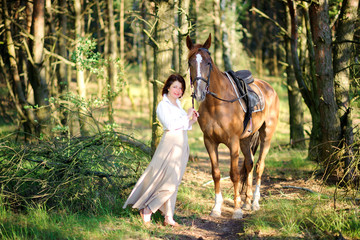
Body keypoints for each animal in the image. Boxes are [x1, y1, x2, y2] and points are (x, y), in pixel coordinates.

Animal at [187, 34, 280, 219]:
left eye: (208, 62)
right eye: (190, 62)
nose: (199, 93)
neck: (216, 104)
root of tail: (270, 88)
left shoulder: (233, 141)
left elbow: (234, 174)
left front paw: (236, 210)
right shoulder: (209, 141)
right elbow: (216, 174)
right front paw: (216, 208)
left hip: (266, 135)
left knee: (259, 166)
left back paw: (255, 203)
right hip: (246, 140)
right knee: (250, 164)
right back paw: (247, 201)